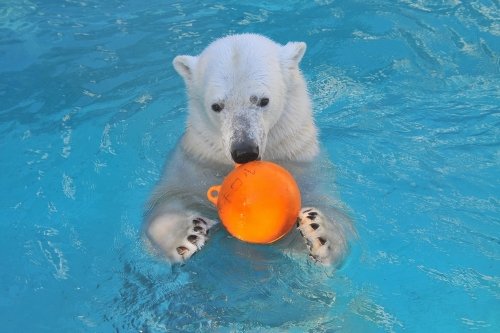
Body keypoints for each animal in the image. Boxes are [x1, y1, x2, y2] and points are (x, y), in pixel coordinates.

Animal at [145, 33, 354, 264]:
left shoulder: (303, 161)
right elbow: (165, 198)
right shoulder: (196, 160)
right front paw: (187, 235)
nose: (244, 152)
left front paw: (318, 229)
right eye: (216, 106)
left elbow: (333, 210)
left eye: (263, 100)